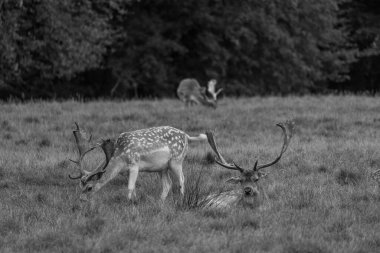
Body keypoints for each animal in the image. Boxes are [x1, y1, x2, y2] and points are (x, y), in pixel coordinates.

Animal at [70, 122, 209, 202]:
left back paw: (181, 200)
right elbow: (134, 188)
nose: (81, 200)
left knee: (182, 179)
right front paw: (135, 201)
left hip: (177, 160)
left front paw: (129, 203)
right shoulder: (126, 172)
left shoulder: (134, 164)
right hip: (162, 168)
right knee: (168, 183)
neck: (119, 158)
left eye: (89, 187)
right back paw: (160, 201)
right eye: (80, 186)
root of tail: (186, 135)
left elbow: (130, 187)